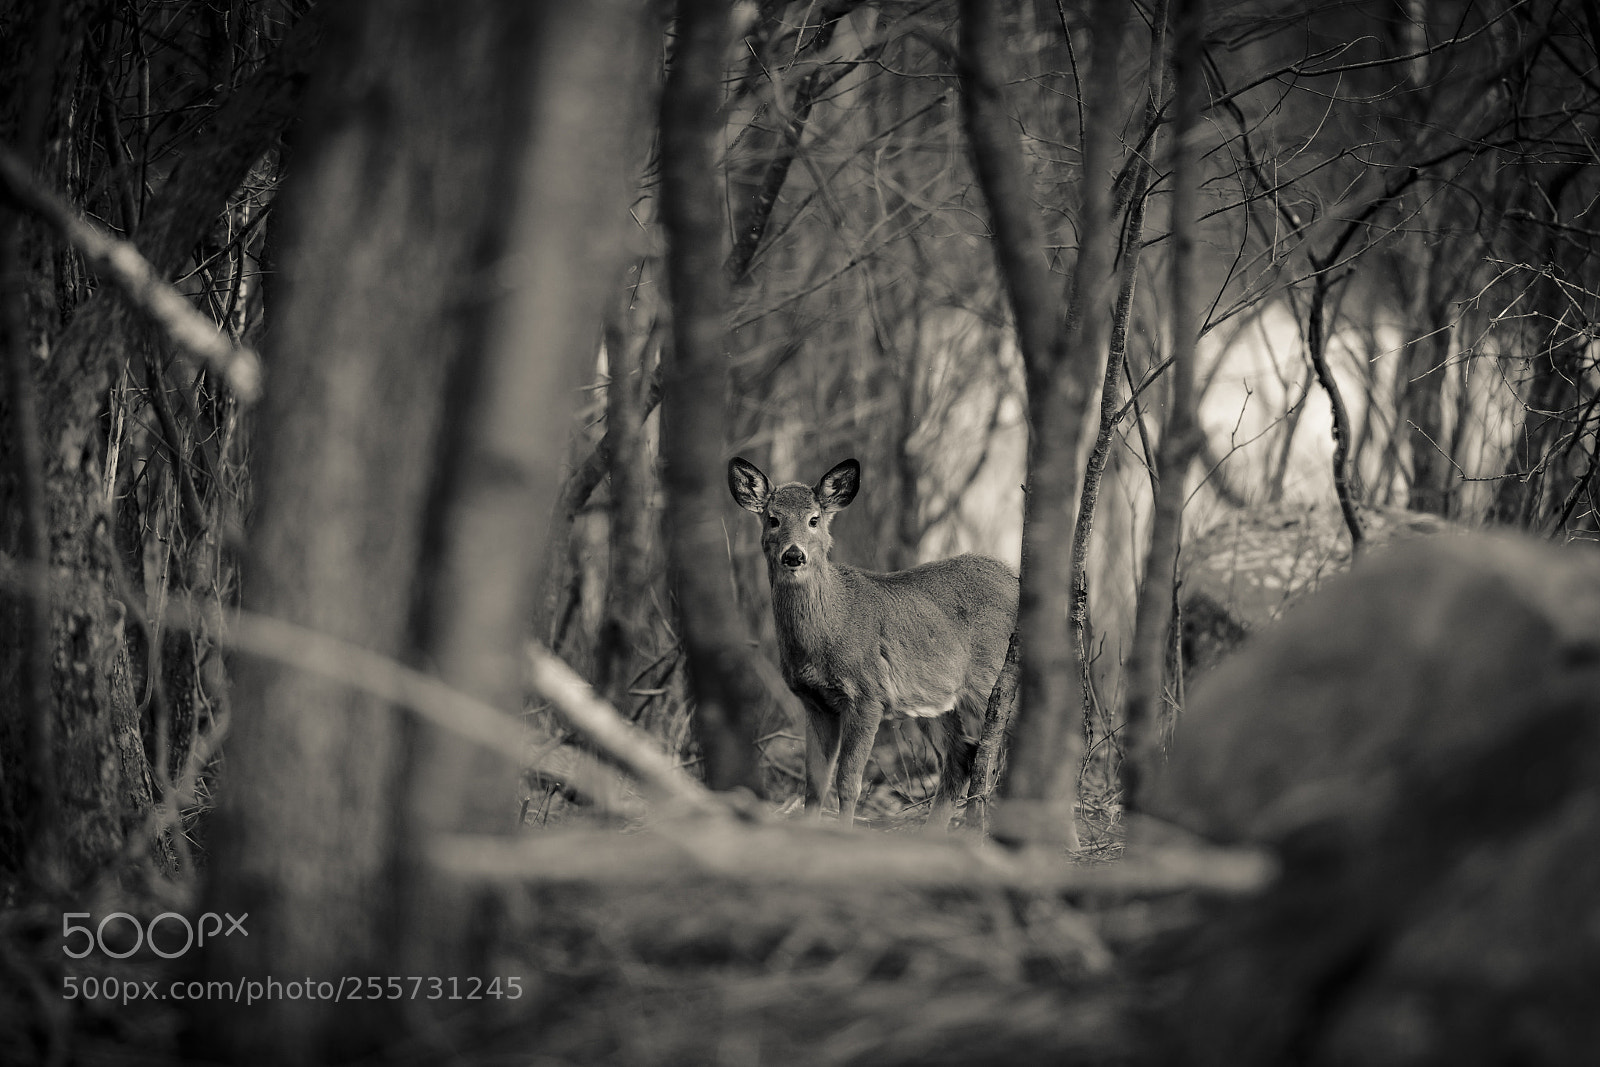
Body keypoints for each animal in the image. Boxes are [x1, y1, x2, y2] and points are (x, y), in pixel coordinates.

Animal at [728, 456, 1019, 830]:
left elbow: (848, 782)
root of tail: (1014, 577)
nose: (794, 555)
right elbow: (814, 784)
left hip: (991, 680)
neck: (830, 625)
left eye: (814, 519)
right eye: (772, 518)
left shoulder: (867, 695)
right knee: (960, 757)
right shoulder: (814, 702)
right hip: (935, 701)